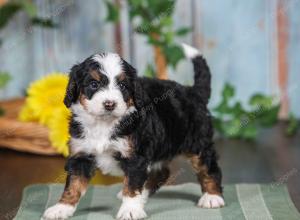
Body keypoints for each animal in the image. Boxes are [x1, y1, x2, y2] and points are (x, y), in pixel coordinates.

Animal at [42, 43, 225, 219]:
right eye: (94, 84)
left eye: (123, 85)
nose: (109, 104)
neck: (103, 124)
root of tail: (193, 92)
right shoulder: (81, 155)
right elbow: (73, 184)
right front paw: (61, 208)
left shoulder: (135, 156)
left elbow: (132, 184)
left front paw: (130, 210)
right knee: (162, 173)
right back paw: (142, 196)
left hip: (198, 142)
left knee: (209, 167)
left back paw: (212, 197)